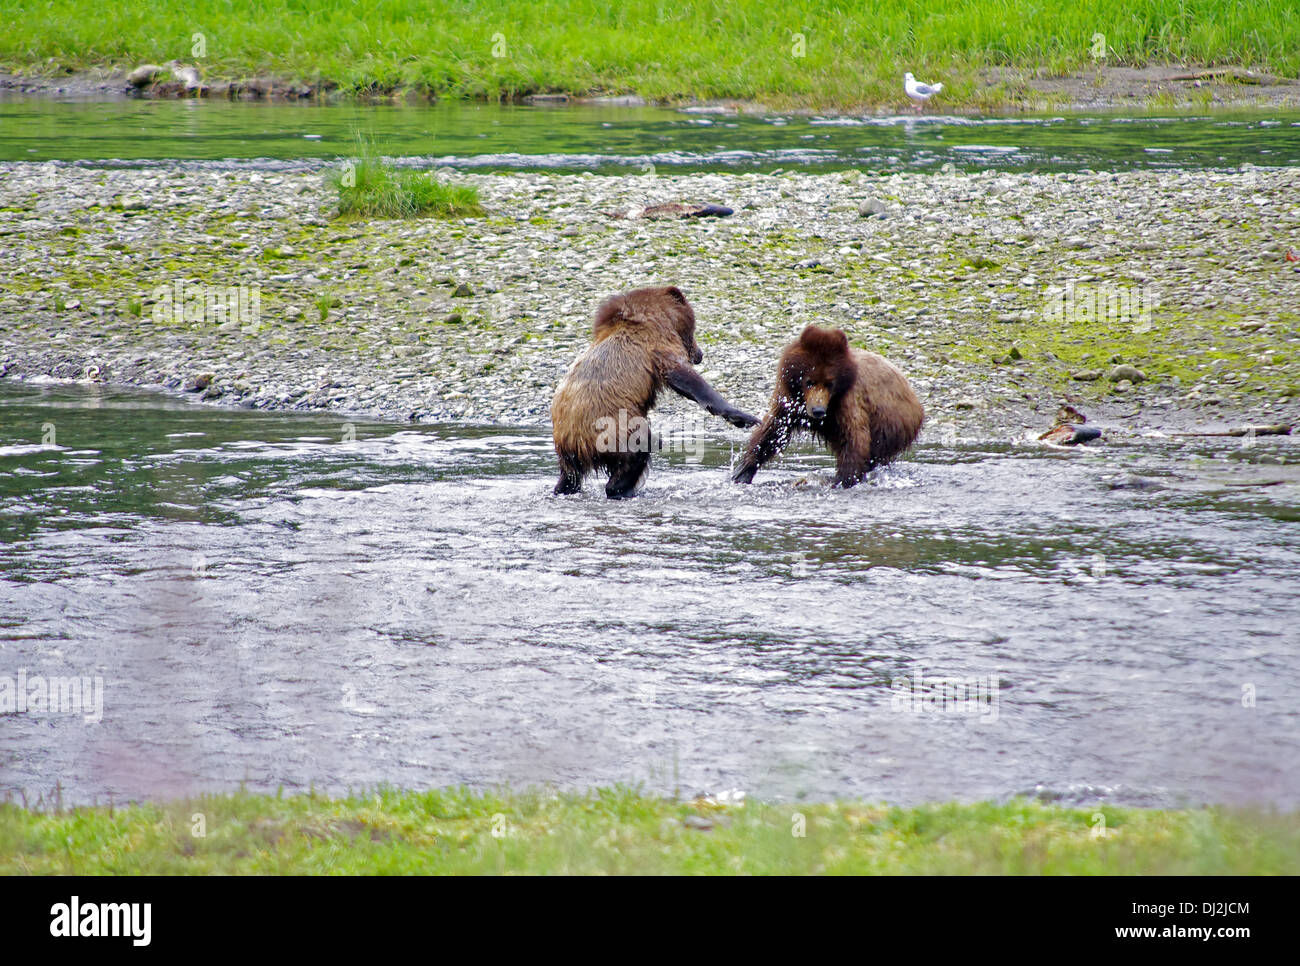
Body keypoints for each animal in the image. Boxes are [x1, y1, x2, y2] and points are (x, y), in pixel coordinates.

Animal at [551, 284, 759, 499]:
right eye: (693, 330)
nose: (700, 354)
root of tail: (577, 444)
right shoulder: (658, 344)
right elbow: (683, 375)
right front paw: (743, 417)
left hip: (568, 449)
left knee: (570, 477)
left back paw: (565, 487)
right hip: (614, 427)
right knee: (642, 444)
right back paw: (624, 488)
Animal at [733, 326, 925, 491]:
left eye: (829, 383)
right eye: (809, 381)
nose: (818, 410)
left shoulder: (846, 404)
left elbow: (854, 440)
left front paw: (840, 480)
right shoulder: (788, 403)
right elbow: (772, 432)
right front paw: (742, 471)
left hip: (891, 424)